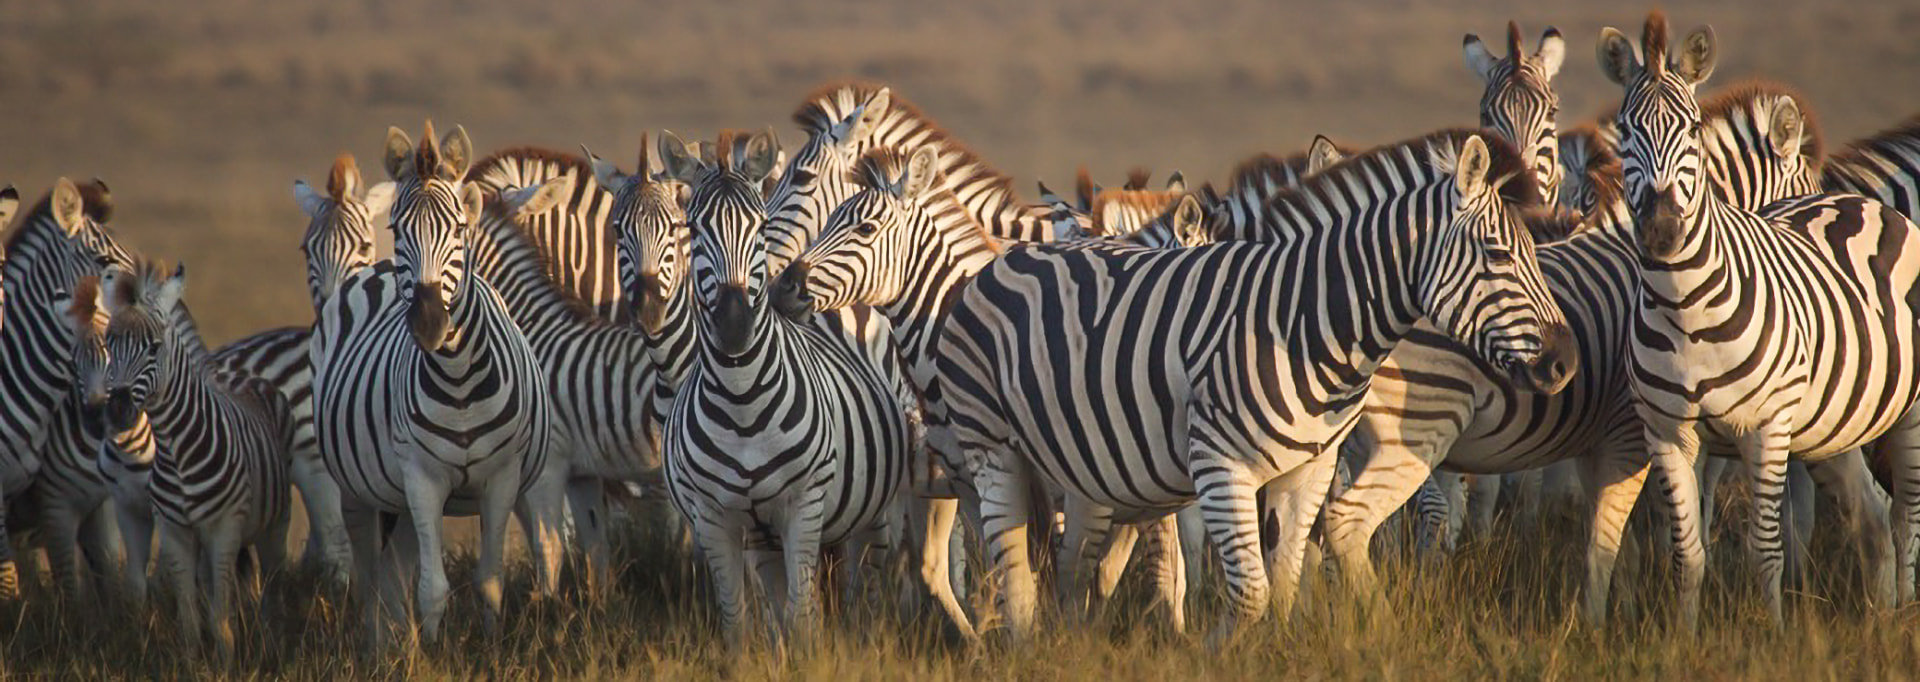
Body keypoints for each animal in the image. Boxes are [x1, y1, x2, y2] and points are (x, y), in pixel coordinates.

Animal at [92, 259, 294, 662]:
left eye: (154, 348)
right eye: (109, 344)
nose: (119, 412)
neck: (178, 451)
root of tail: (242, 376)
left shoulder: (225, 527)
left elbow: (219, 611)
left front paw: (226, 661)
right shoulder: (175, 530)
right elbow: (188, 612)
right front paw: (191, 661)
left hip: (274, 524)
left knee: (271, 586)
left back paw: (270, 643)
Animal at [310, 123, 563, 643]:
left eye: (459, 229)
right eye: (395, 230)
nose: (428, 324)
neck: (460, 379)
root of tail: (376, 271)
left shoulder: (501, 477)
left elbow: (488, 581)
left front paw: (489, 647)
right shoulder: (423, 479)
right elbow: (432, 588)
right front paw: (432, 651)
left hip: (403, 497)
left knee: (392, 570)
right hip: (360, 489)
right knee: (371, 575)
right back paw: (377, 644)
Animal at [660, 129, 923, 646]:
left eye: (760, 228)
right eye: (693, 231)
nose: (736, 326)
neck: (742, 401)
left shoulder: (803, 505)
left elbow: (804, 617)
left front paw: (814, 655)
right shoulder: (715, 518)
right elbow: (739, 623)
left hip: (873, 511)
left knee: (864, 586)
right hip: (762, 535)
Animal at [930, 130, 1575, 641]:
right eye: (1497, 254)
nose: (1565, 361)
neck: (1305, 323)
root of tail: (1006, 257)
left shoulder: (1311, 466)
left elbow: (1284, 585)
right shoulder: (1221, 466)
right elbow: (1251, 594)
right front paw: (1209, 652)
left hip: (1081, 465)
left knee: (1070, 569)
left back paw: (1071, 647)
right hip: (993, 450)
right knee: (1017, 575)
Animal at [1600, 11, 1920, 626]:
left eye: (1691, 129)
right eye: (1624, 131)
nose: (1661, 230)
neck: (1683, 309)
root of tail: (1864, 204)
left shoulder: (1767, 429)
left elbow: (1765, 548)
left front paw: (1772, 631)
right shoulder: (1668, 434)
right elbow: (1687, 553)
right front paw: (1682, 637)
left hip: (1909, 412)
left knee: (1905, 518)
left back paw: (1905, 612)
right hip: (1835, 424)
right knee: (1871, 515)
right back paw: (1879, 618)